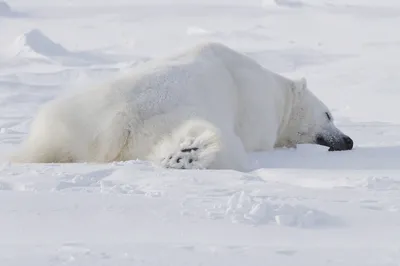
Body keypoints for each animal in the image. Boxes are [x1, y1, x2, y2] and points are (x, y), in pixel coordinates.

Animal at [10, 41, 354, 170]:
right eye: (328, 114)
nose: (348, 140)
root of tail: (120, 122)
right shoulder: (258, 112)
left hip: (79, 117)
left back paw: (184, 153)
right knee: (226, 144)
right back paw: (194, 154)